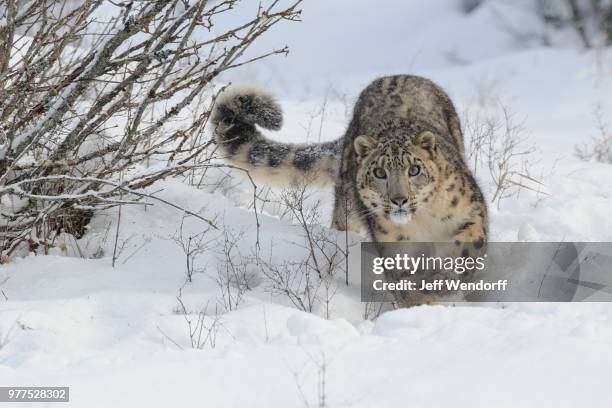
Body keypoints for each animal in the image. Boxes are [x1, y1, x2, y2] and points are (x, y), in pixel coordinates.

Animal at [210, 75, 488, 258]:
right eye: (379, 173)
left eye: (414, 170)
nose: (399, 199)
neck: (424, 221)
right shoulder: (393, 240)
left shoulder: (471, 210)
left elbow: (470, 240)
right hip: (347, 208)